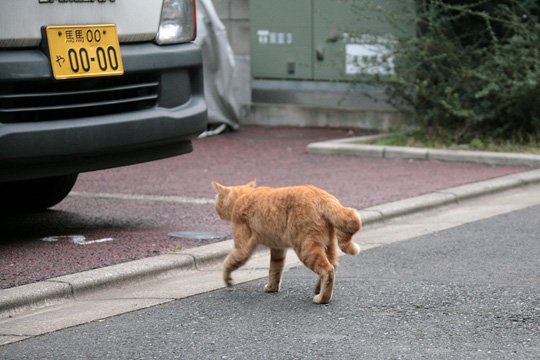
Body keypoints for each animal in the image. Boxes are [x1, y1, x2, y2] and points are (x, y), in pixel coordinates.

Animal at [212, 180, 362, 304]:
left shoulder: (242, 247)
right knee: (333, 265)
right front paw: (272, 288)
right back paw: (318, 289)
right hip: (328, 245)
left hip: (306, 248)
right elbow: (275, 270)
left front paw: (227, 281)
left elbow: (228, 262)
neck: (243, 195)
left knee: (328, 270)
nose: (217, 211)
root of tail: (323, 195)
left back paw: (322, 298)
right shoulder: (278, 249)